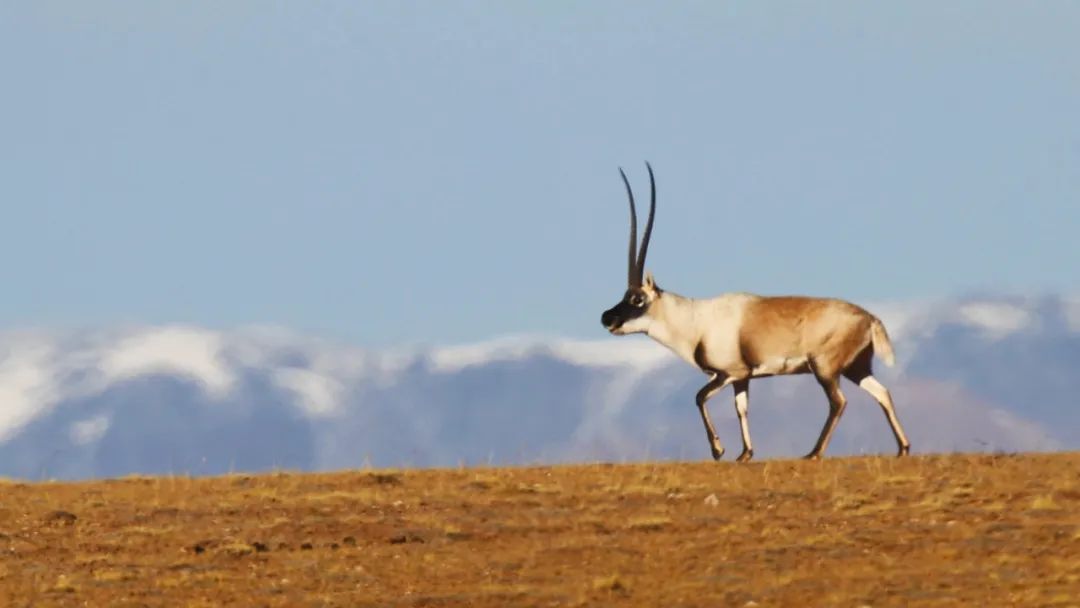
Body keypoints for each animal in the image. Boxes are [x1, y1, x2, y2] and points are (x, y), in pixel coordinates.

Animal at [600, 161, 911, 462]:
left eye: (637, 298)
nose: (607, 318)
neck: (695, 320)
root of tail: (870, 318)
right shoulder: (742, 378)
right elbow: (741, 408)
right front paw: (745, 453)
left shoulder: (730, 372)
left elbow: (699, 397)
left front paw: (719, 450)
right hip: (856, 368)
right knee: (882, 393)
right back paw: (903, 448)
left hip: (824, 368)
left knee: (839, 402)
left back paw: (814, 452)